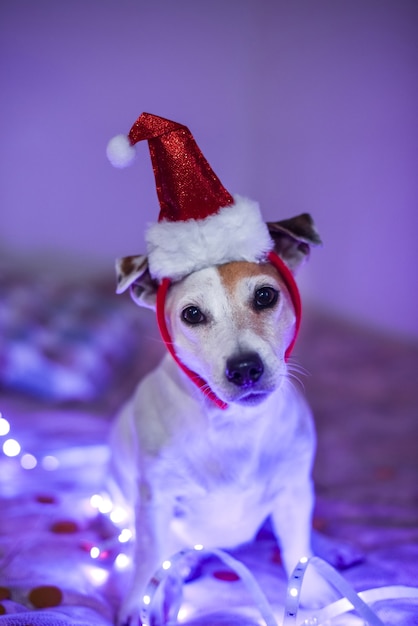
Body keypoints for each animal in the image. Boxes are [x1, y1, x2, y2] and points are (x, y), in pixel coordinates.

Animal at [108, 213, 334, 624]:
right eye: (192, 314)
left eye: (265, 296)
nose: (244, 368)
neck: (234, 425)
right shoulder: (155, 502)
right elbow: (148, 556)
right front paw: (140, 603)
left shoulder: (293, 489)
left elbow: (297, 545)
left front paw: (309, 589)